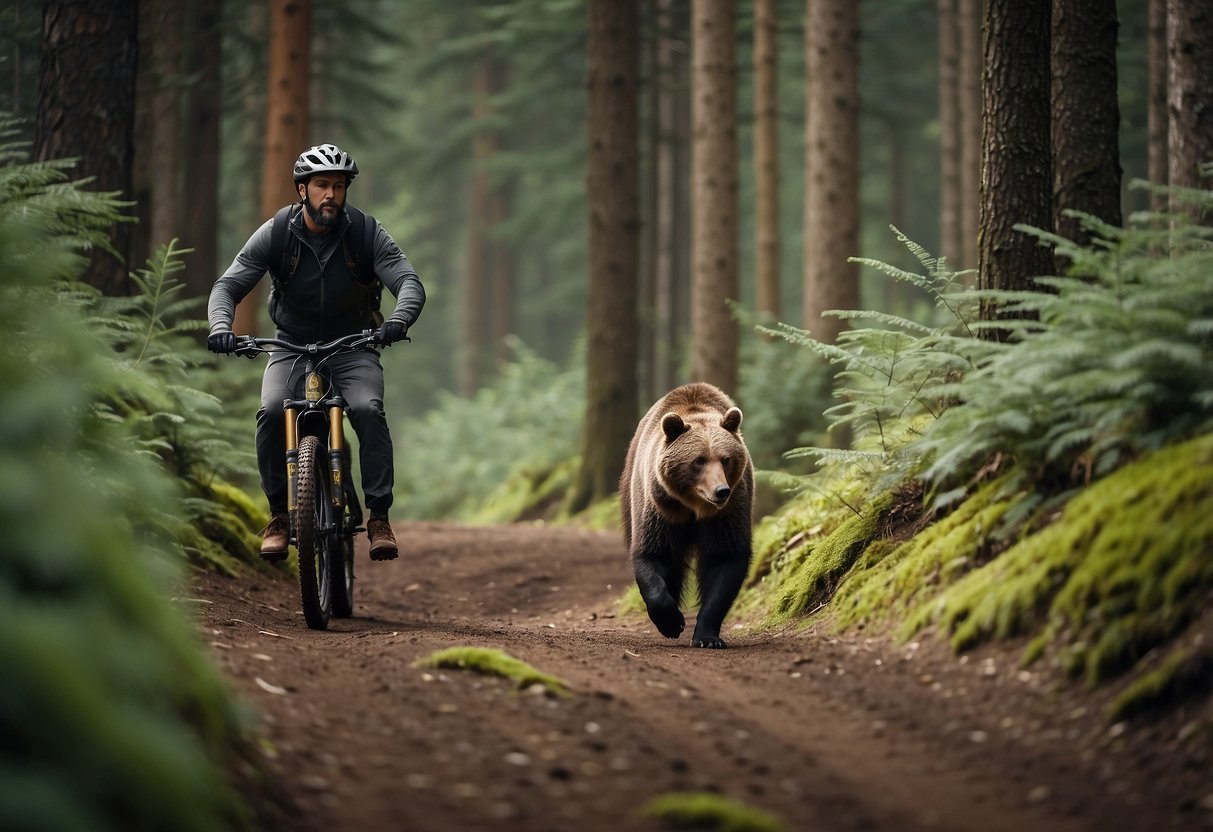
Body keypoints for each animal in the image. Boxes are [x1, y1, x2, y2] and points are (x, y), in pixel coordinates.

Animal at [621, 385, 752, 650]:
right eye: (699, 460)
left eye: (726, 459)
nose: (721, 491)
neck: (694, 508)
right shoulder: (662, 509)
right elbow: (653, 553)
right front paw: (672, 622)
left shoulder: (727, 514)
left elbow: (724, 560)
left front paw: (707, 637)